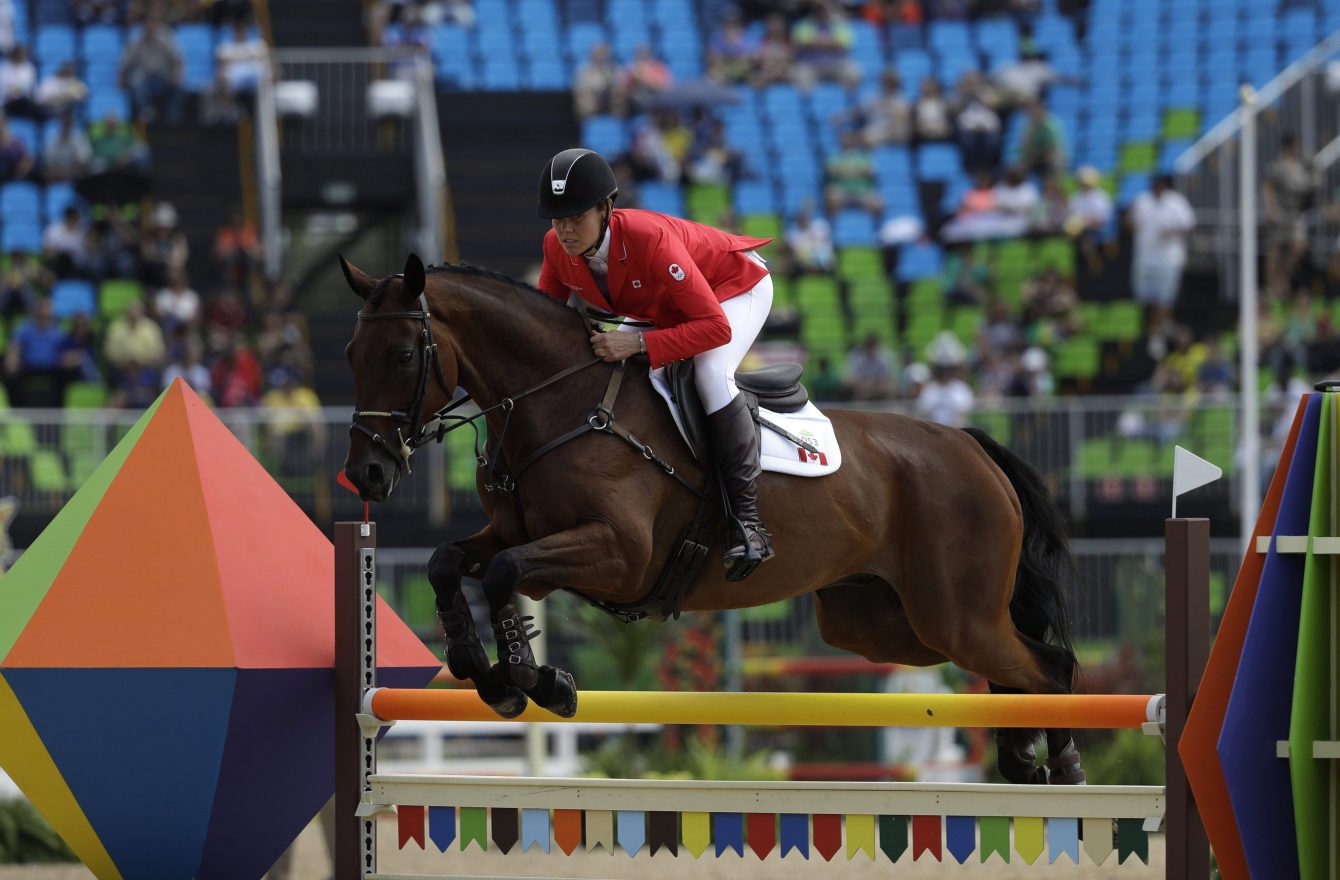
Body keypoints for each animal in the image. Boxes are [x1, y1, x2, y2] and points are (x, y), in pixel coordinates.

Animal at [340, 251, 1082, 782]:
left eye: (402, 355)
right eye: (350, 356)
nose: (367, 473)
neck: (558, 401)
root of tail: (970, 444)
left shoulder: (618, 555)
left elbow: (500, 573)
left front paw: (532, 680)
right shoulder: (521, 536)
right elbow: (450, 562)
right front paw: (487, 670)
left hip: (953, 615)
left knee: (1049, 669)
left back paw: (1065, 766)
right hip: (886, 625)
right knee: (1011, 672)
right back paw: (1022, 761)